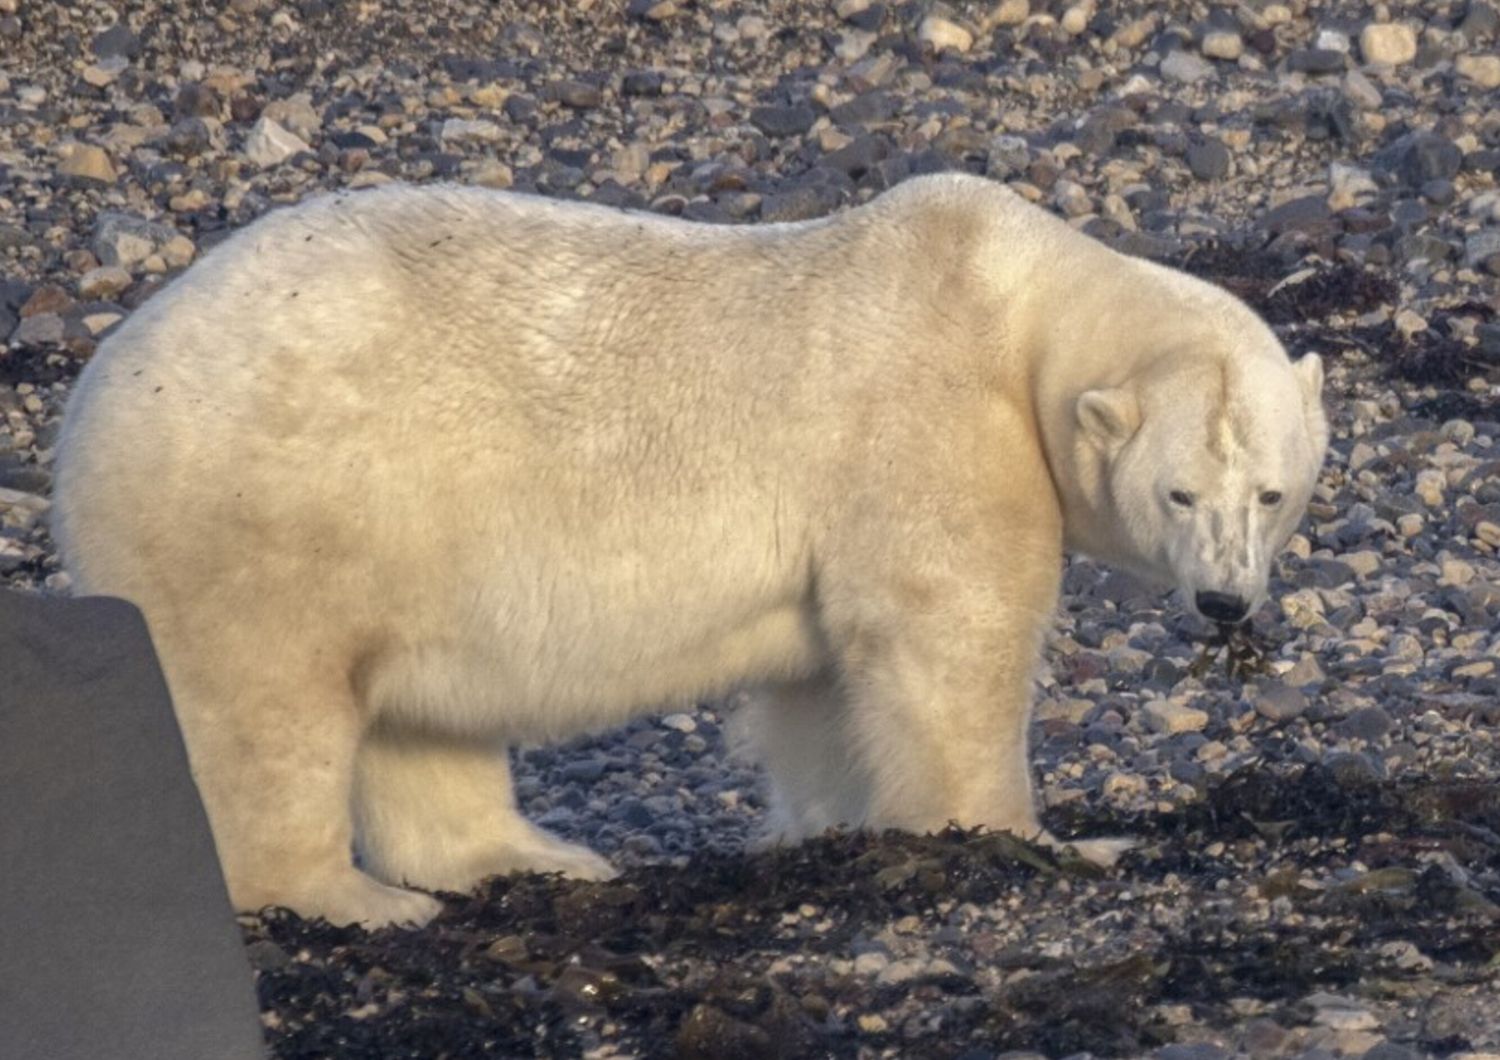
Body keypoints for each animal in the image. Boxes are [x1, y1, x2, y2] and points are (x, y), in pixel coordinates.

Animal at [52, 173, 1332, 929]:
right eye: (1178, 490)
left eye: (1272, 491)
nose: (1226, 604)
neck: (1012, 303)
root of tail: (93, 403)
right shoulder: (936, 422)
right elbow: (947, 634)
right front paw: (1039, 838)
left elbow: (828, 686)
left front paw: (832, 823)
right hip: (269, 514)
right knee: (266, 712)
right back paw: (348, 897)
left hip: (403, 537)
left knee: (421, 717)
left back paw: (538, 857)